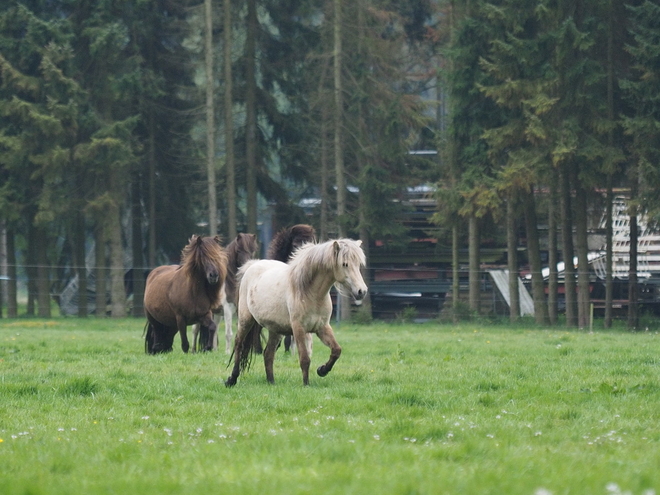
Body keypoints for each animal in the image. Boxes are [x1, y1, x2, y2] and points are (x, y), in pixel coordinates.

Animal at [223, 239, 366, 388]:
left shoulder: (322, 327)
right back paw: (232, 379)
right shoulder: (299, 329)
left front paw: (322, 370)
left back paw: (271, 382)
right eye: (345, 264)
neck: (310, 292)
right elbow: (305, 359)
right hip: (246, 320)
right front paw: (306, 385)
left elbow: (336, 350)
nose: (362, 291)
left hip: (275, 329)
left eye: (359, 264)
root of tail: (252, 265)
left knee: (268, 353)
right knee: (239, 345)